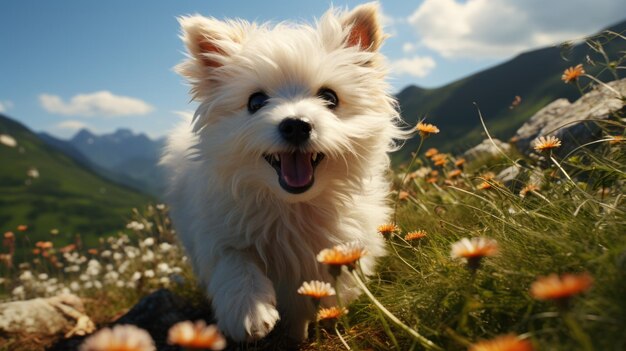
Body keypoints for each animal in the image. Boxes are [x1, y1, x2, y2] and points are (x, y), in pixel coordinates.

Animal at [161, 2, 404, 344]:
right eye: (255, 101)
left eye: (330, 98)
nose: (296, 125)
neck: (293, 206)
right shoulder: (217, 232)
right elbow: (235, 262)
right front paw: (249, 312)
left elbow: (306, 303)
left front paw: (298, 334)